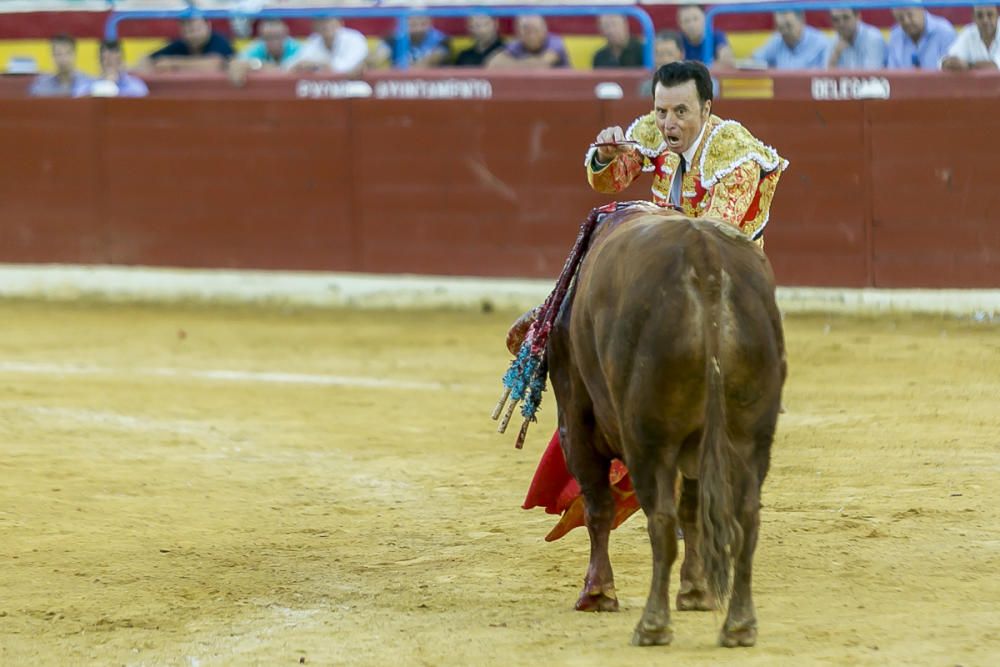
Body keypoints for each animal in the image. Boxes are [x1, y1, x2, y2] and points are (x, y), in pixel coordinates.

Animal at [548, 207, 788, 648]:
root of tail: (705, 260)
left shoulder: (575, 422)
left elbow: (598, 507)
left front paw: (597, 593)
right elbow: (693, 512)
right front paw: (696, 590)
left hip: (649, 440)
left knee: (659, 520)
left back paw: (652, 625)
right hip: (751, 438)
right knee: (745, 518)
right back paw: (739, 625)